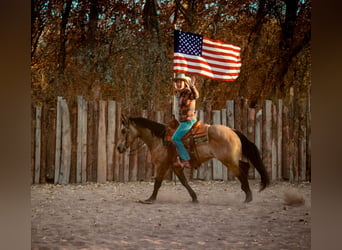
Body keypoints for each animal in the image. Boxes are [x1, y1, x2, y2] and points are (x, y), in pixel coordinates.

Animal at [117, 115, 270, 203]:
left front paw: (150, 199)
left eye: (123, 131)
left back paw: (248, 197)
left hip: (229, 160)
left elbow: (157, 183)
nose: (119, 148)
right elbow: (184, 182)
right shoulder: (175, 166)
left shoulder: (162, 165)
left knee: (241, 172)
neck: (159, 139)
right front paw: (194, 198)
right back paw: (246, 192)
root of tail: (232, 130)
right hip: (232, 159)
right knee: (245, 166)